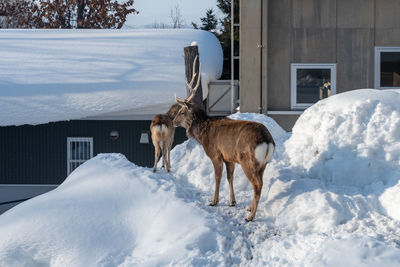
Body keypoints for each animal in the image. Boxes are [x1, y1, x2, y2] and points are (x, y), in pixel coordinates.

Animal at [172, 55, 276, 222]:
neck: (203, 134)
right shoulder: (229, 157)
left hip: (247, 159)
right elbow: (230, 177)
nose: (173, 121)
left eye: (181, 111)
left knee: (257, 184)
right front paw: (232, 201)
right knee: (260, 183)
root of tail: (266, 141)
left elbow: (217, 177)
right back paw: (250, 208)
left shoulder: (215, 153)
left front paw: (214, 201)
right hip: (263, 163)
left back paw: (250, 216)